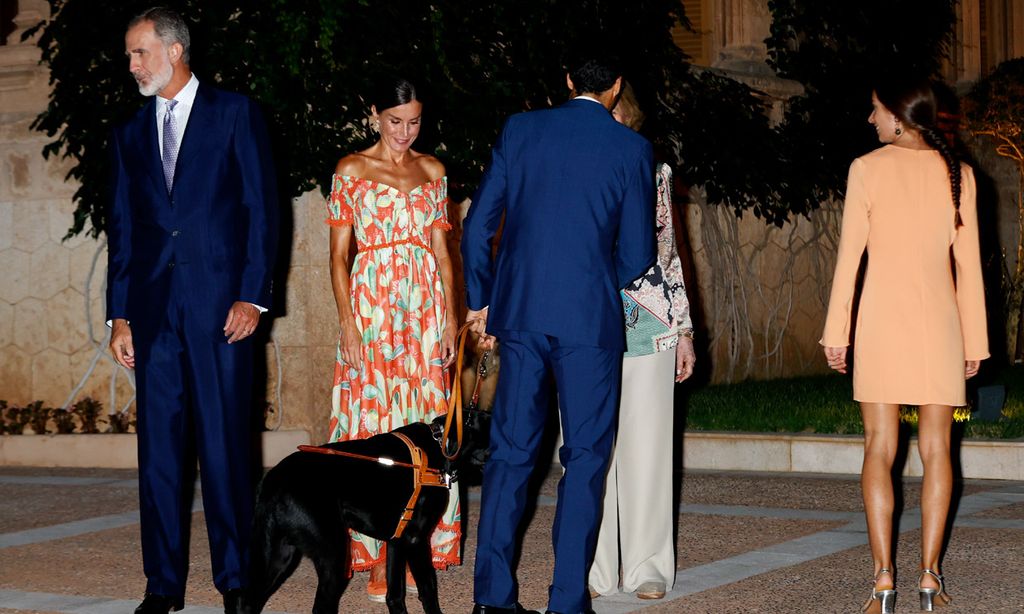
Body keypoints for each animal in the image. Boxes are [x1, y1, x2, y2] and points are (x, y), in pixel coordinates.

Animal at [243, 407, 491, 614]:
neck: (438, 444)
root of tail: (272, 482)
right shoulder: (416, 540)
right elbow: (428, 588)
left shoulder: (397, 541)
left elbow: (395, 596)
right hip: (333, 556)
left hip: (278, 555)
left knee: (246, 602)